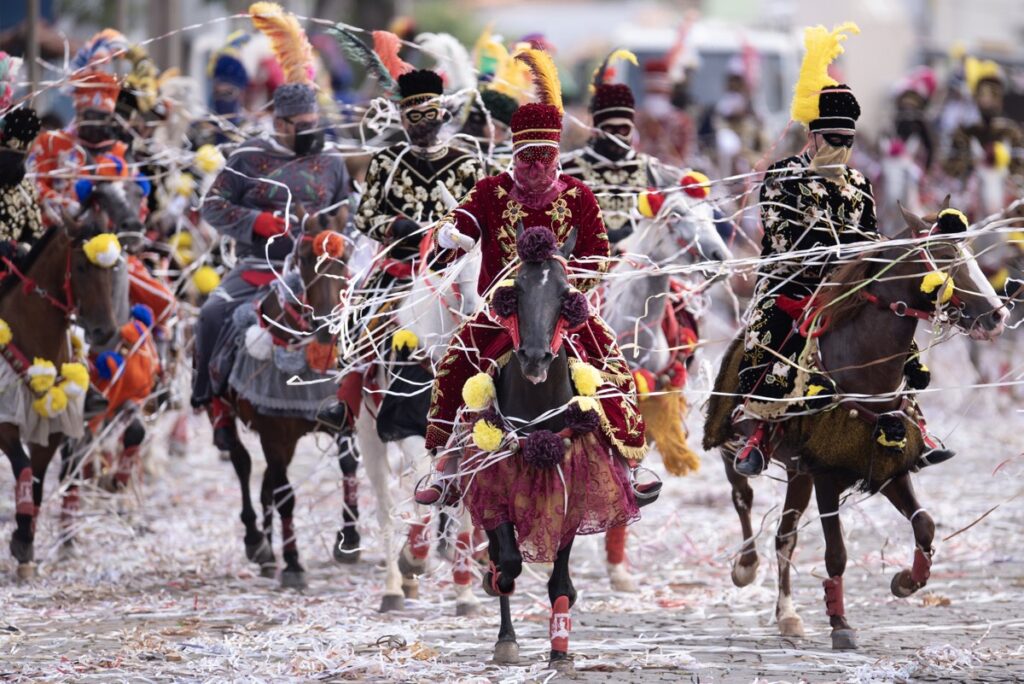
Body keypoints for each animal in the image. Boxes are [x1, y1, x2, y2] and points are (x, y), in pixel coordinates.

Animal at [0, 215, 123, 577]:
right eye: (80, 267)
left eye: (111, 269)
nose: (105, 331)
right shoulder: (6, 420)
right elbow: (24, 468)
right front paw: (21, 539)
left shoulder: (53, 423)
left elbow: (39, 482)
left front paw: (25, 539)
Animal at [218, 218, 350, 589]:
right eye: (304, 258)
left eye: (344, 257)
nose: (326, 328)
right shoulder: (273, 433)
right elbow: (286, 495)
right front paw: (293, 562)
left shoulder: (341, 418)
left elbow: (348, 467)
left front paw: (348, 539)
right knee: (243, 462)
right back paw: (256, 542)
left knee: (266, 483)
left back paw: (266, 549)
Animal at [704, 201, 1007, 647]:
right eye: (945, 257)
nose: (997, 316)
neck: (864, 368)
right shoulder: (827, 473)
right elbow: (836, 553)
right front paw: (840, 624)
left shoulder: (889, 460)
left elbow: (926, 526)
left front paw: (907, 581)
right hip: (733, 443)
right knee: (742, 495)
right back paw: (746, 564)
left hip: (798, 470)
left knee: (785, 537)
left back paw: (787, 615)